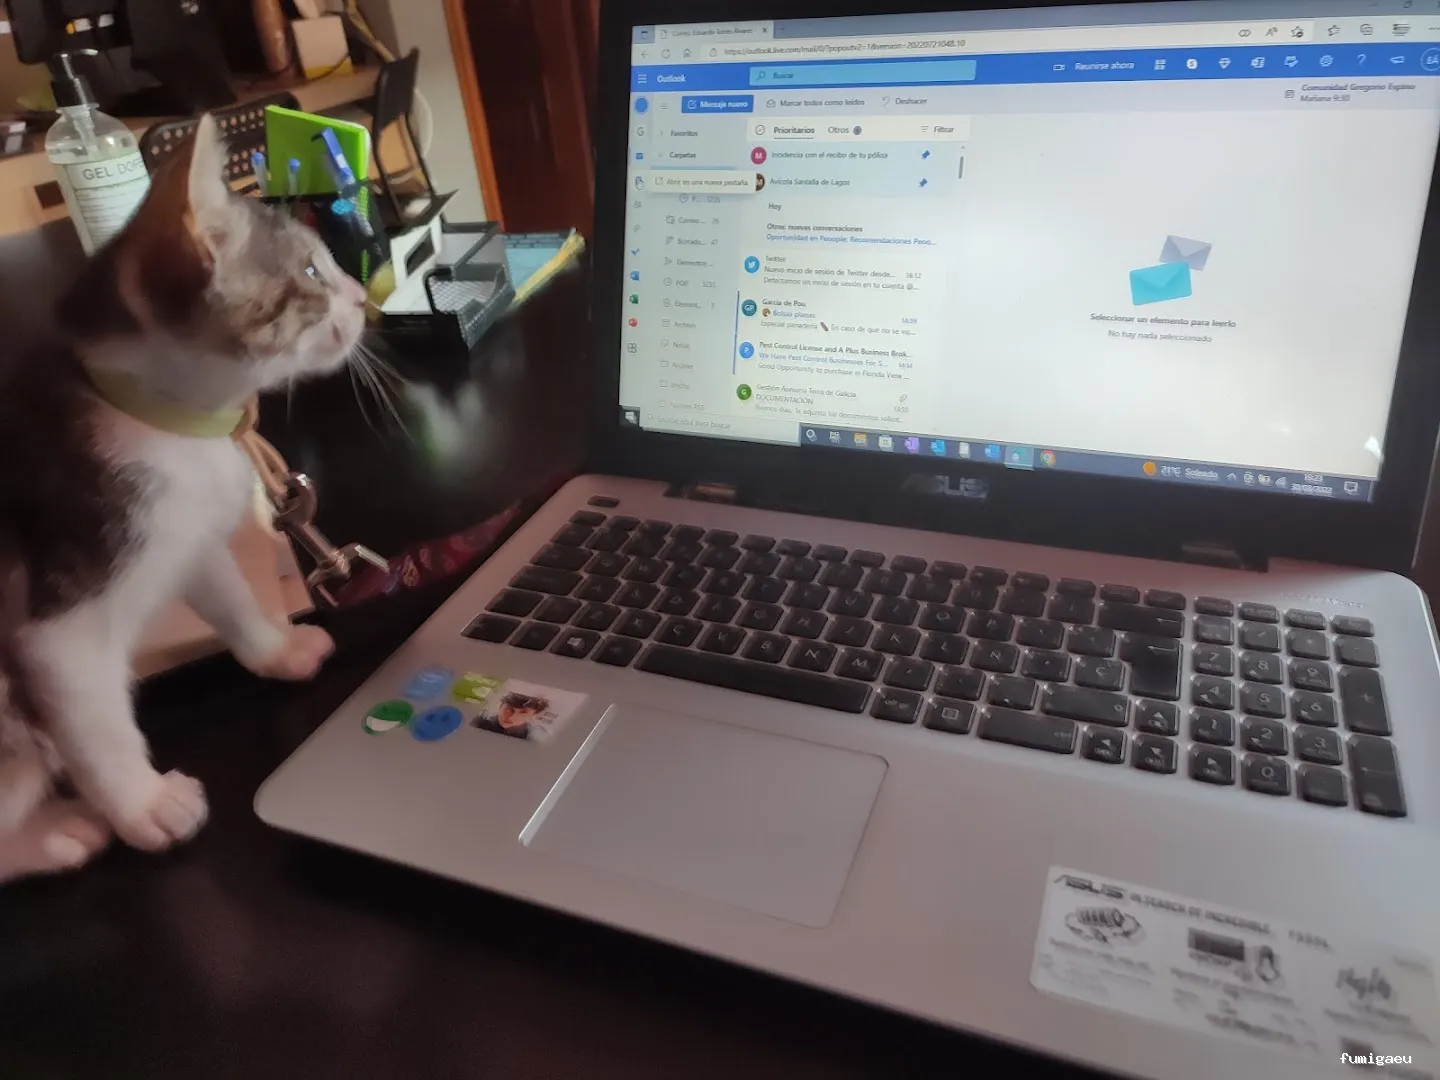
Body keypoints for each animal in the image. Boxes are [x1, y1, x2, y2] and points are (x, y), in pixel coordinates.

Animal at [0, 115, 368, 882]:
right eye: (312, 272)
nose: (361, 298)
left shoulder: (187, 534)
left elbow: (228, 593)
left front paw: (275, 649)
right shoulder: (60, 605)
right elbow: (91, 714)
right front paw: (145, 805)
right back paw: (54, 836)